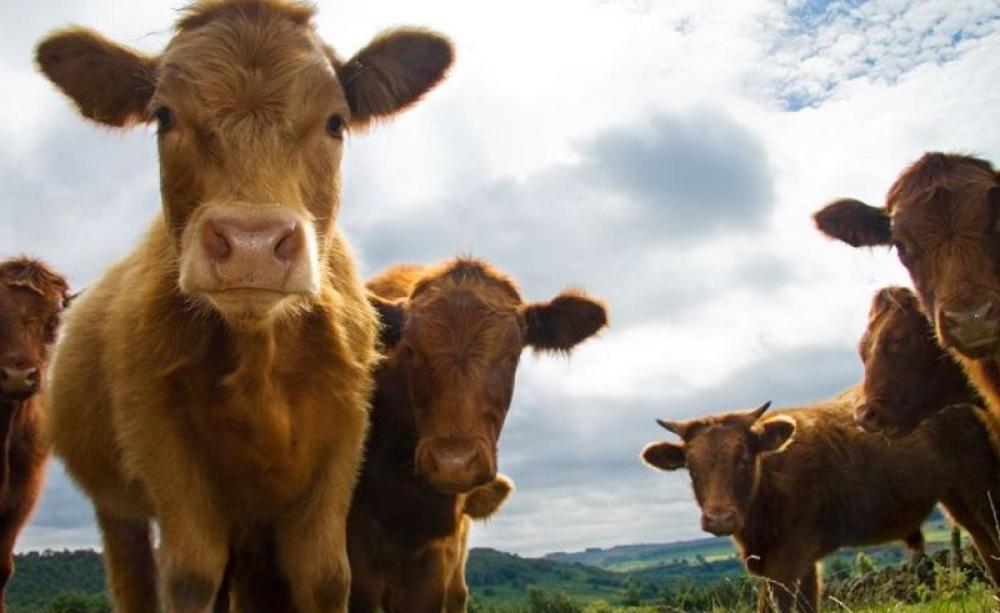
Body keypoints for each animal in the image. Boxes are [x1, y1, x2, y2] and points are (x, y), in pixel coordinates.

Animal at [34, 2, 453, 611]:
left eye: (336, 122)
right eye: (163, 117)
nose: (251, 243)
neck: (261, 355)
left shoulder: (342, 439)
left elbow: (327, 574)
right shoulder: (157, 437)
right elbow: (189, 574)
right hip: (117, 504)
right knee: (133, 573)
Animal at [641, 394, 1000, 613]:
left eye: (744, 458)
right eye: (691, 467)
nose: (719, 518)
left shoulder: (788, 558)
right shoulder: (790, 562)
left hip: (980, 485)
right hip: (958, 496)